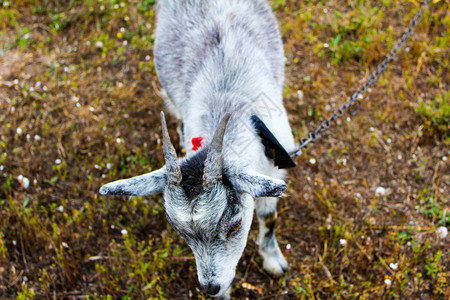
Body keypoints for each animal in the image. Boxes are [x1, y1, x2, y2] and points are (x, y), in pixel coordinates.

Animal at [99, 0, 298, 296]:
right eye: (180, 232)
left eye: (236, 225)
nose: (210, 287)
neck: (226, 104)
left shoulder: (272, 168)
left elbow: (268, 216)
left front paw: (273, 260)